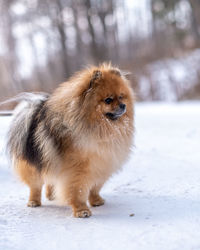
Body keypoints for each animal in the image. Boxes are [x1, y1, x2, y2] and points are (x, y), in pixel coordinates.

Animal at [7, 63, 134, 218]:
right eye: (108, 100)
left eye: (121, 97)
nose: (123, 105)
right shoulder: (77, 170)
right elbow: (77, 190)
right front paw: (81, 210)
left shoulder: (101, 164)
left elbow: (95, 187)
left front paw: (96, 200)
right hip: (34, 166)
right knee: (35, 185)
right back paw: (34, 201)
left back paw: (51, 195)